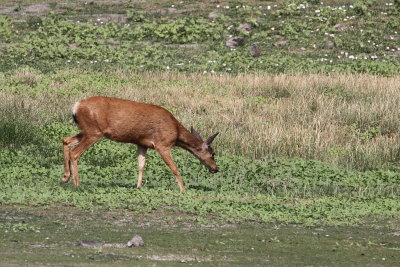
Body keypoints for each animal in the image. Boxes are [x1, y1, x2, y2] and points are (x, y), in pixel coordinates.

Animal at [61, 97, 219, 192]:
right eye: (212, 154)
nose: (215, 169)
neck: (176, 131)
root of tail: (75, 107)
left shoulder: (142, 143)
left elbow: (141, 165)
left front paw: (138, 186)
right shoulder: (162, 144)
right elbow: (174, 167)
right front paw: (183, 189)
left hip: (86, 131)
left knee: (65, 140)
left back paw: (65, 177)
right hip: (94, 131)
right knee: (74, 153)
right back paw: (76, 184)